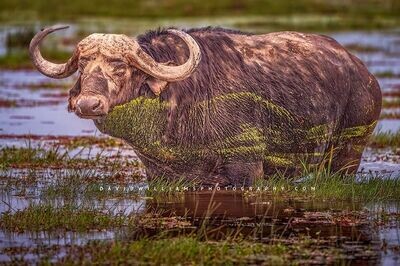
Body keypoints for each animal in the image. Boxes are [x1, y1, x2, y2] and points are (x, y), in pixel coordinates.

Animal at [28, 26, 382, 186]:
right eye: (83, 65)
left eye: (120, 66)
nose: (88, 103)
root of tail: (363, 73)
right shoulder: (160, 174)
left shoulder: (246, 168)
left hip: (349, 151)